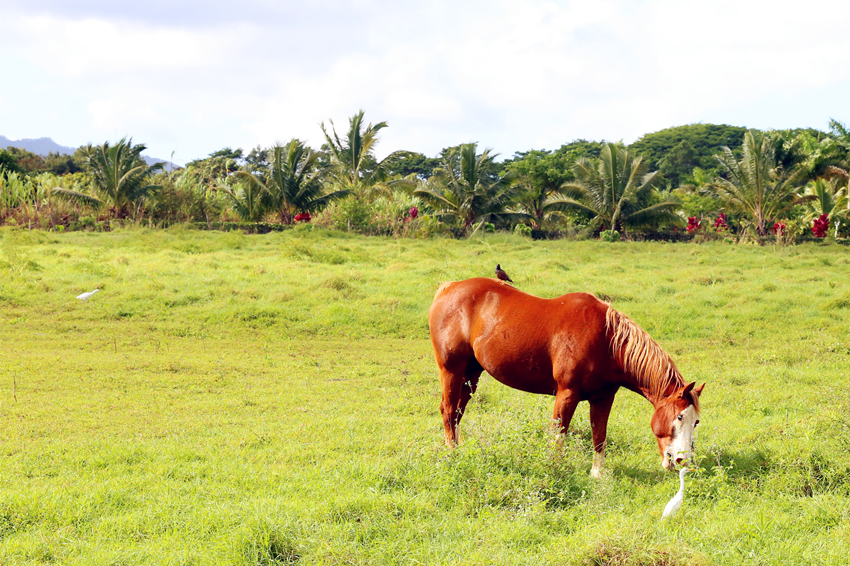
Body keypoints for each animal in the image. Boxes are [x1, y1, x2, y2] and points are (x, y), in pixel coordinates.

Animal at [424, 278, 704, 478]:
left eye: (696, 421)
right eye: (680, 417)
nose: (682, 461)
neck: (606, 340)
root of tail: (448, 288)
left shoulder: (603, 398)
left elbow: (599, 436)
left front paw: (597, 475)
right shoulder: (567, 394)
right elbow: (559, 434)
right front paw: (554, 469)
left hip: (472, 374)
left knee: (458, 413)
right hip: (451, 370)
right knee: (448, 410)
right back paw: (452, 455)